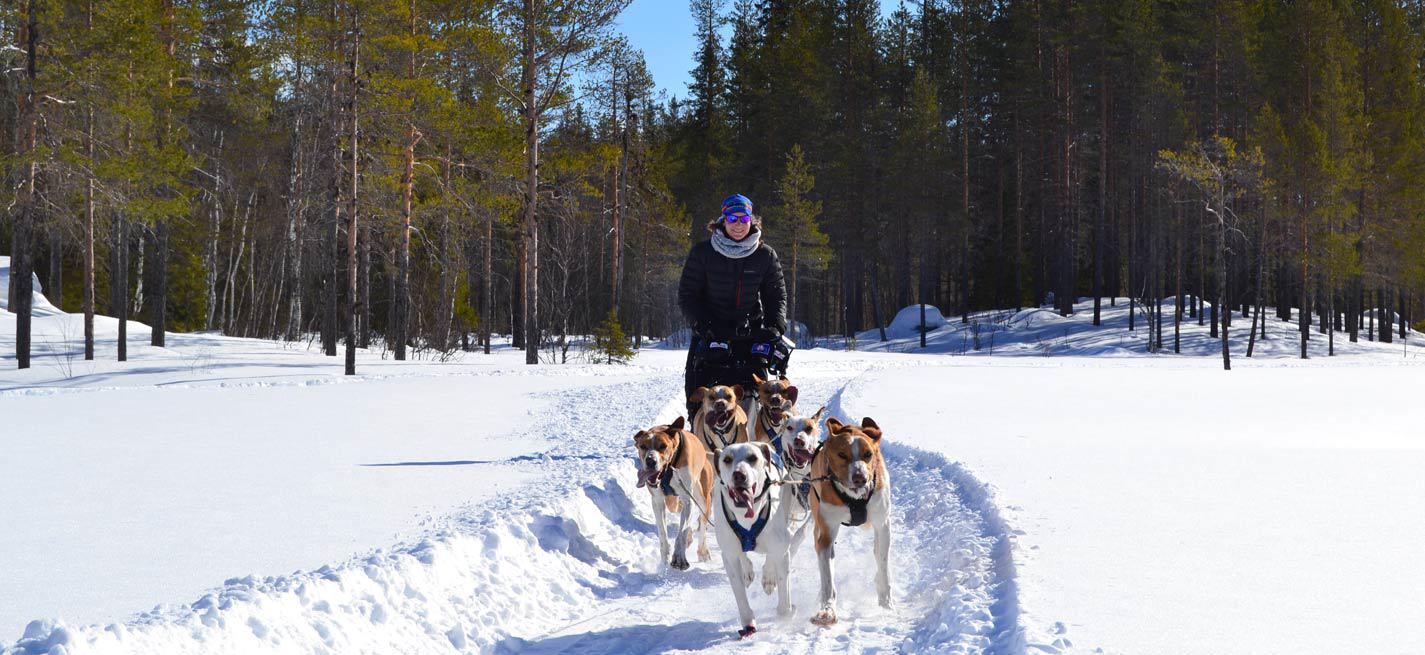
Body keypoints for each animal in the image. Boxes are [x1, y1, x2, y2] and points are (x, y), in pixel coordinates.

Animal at [632, 415, 712, 569]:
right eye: (643, 446)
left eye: (663, 446)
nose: (650, 461)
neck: (669, 470)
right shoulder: (657, 501)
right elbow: (663, 534)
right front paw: (664, 561)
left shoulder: (688, 500)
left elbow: (681, 533)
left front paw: (679, 558)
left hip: (702, 498)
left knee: (703, 522)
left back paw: (702, 551)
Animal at [809, 415, 883, 626]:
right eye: (842, 454)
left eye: (868, 454)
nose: (860, 477)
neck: (855, 498)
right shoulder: (826, 533)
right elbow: (827, 577)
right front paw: (827, 611)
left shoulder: (882, 523)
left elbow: (882, 562)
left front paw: (887, 604)